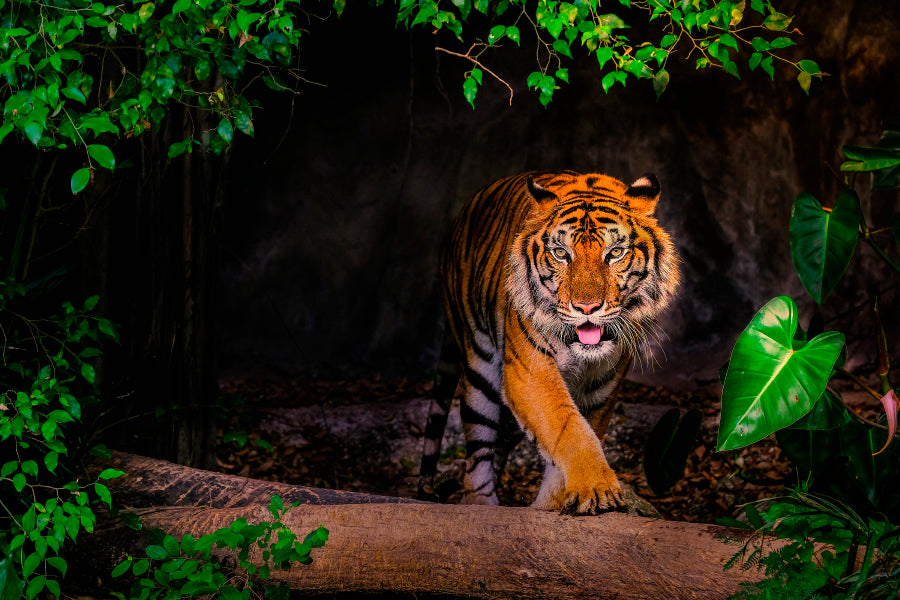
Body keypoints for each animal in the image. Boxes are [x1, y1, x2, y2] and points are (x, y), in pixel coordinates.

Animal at [418, 170, 680, 514]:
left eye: (615, 253)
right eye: (561, 254)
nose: (586, 307)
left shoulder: (602, 388)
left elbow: (577, 435)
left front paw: (554, 504)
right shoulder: (530, 373)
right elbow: (568, 429)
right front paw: (598, 489)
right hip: (479, 370)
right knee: (477, 457)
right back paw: (482, 505)